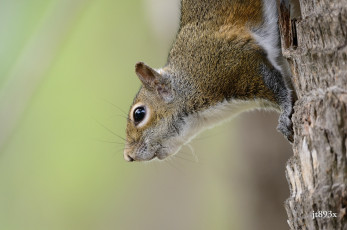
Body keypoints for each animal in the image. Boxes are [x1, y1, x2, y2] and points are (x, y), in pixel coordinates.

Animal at [122, 0, 294, 162]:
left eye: (139, 114)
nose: (128, 156)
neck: (189, 82)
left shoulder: (238, 65)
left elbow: (277, 88)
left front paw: (285, 115)